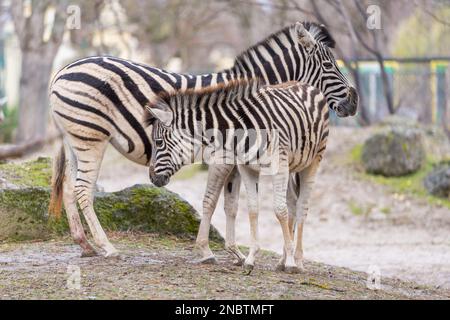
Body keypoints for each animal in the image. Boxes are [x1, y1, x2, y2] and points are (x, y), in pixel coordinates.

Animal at [146, 78, 328, 272]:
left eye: (158, 142)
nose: (152, 178)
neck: (241, 129)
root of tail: (304, 84)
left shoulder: (276, 164)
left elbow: (280, 210)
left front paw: (291, 262)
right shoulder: (246, 167)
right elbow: (252, 209)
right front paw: (251, 257)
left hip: (312, 162)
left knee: (302, 208)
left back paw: (297, 260)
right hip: (292, 166)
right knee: (292, 204)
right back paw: (282, 260)